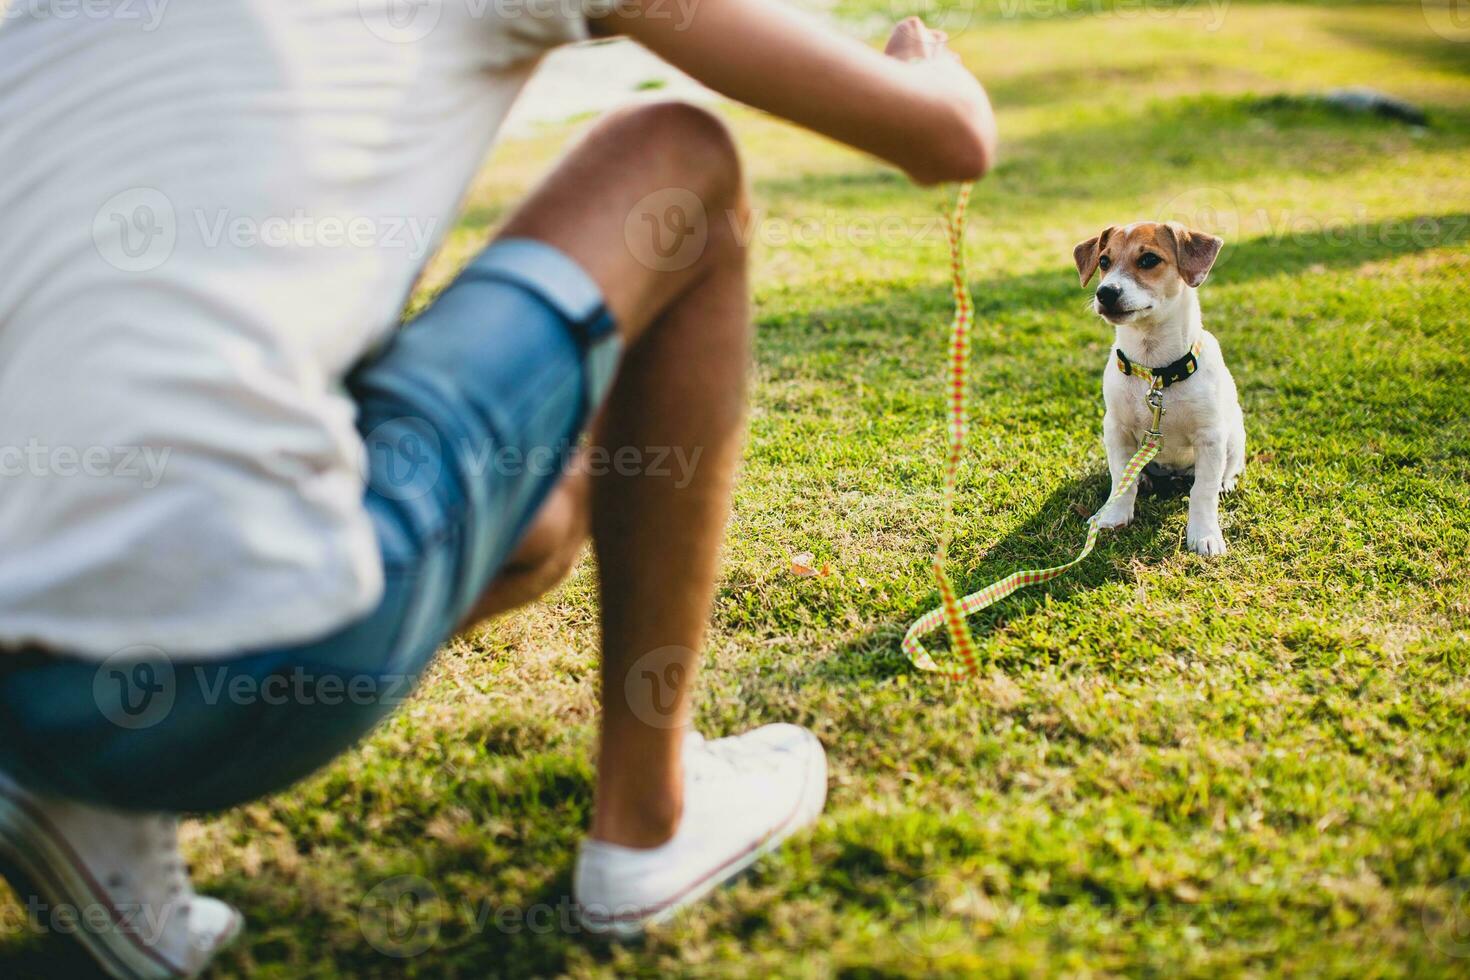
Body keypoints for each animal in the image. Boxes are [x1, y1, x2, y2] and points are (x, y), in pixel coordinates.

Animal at [1076, 224, 1246, 558]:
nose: (1105, 292)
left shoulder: (1210, 436)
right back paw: (1143, 478)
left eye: (1149, 260)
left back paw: (1225, 482)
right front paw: (1114, 515)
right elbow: (1121, 479)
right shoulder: (1115, 429)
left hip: (1234, 436)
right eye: (1104, 261)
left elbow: (1203, 491)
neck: (1155, 371)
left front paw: (1205, 534)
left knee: (1223, 471)